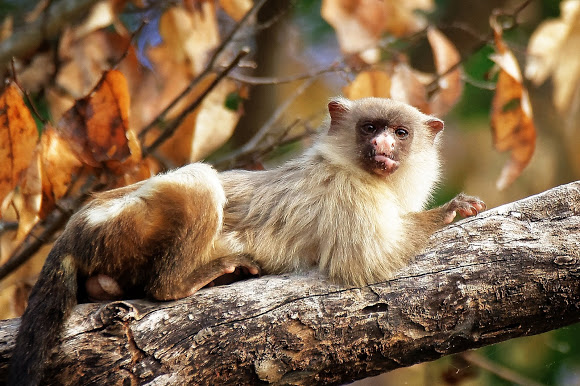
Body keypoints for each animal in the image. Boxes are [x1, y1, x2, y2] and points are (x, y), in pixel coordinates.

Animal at [7, 96, 484, 382]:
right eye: (370, 128)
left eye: (399, 133)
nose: (382, 144)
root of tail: (75, 226)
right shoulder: (345, 192)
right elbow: (370, 259)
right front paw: (449, 211)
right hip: (120, 224)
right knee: (199, 182)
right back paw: (183, 281)